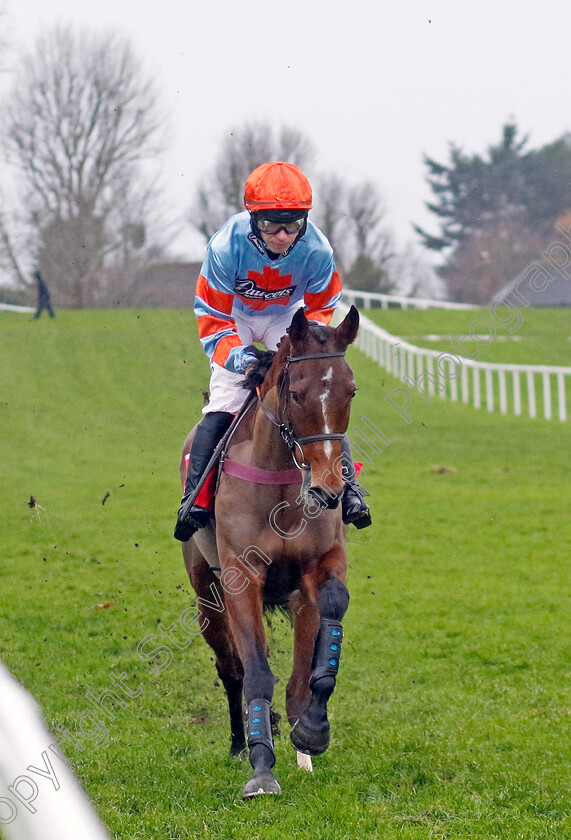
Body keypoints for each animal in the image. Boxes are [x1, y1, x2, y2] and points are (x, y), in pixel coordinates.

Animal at [179, 306, 360, 796]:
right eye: (296, 393)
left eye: (351, 391)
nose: (329, 489)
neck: (280, 478)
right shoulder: (241, 578)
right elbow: (256, 671)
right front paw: (261, 767)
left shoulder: (319, 566)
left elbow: (323, 636)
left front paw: (311, 733)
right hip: (206, 594)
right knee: (231, 668)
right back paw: (240, 745)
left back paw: (299, 749)